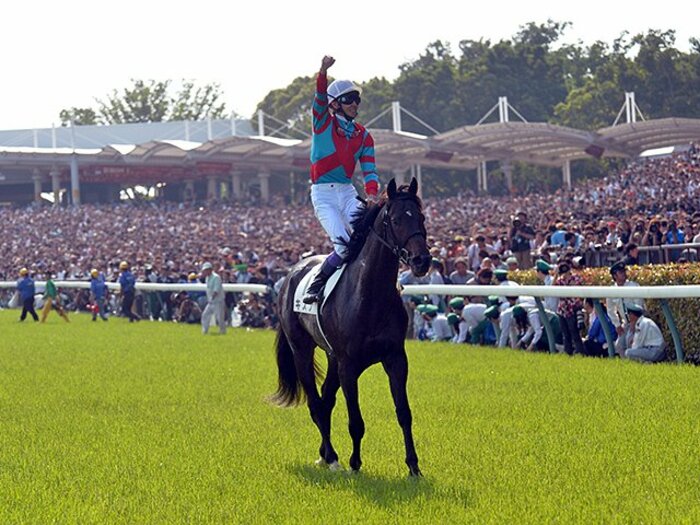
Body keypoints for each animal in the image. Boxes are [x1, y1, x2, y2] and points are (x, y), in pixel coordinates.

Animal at [271, 177, 431, 477]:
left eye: (421, 217)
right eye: (395, 220)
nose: (421, 261)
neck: (370, 295)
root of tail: (292, 273)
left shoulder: (395, 358)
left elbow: (404, 413)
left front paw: (414, 466)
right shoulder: (349, 365)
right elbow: (355, 420)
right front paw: (355, 463)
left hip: (332, 357)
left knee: (325, 401)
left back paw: (325, 455)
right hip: (302, 350)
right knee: (315, 403)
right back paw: (332, 457)